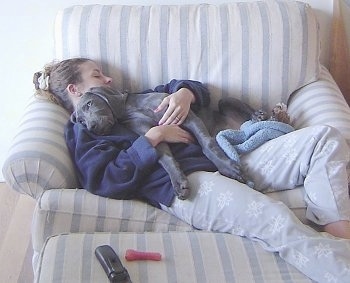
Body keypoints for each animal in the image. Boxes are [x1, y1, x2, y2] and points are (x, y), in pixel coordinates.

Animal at [72, 86, 252, 200]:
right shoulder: (152, 134)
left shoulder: (186, 116)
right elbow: (166, 158)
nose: (92, 127)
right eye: (80, 121)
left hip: (225, 100)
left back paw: (259, 115)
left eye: (89, 104)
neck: (132, 107)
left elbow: (207, 144)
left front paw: (227, 167)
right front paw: (178, 182)